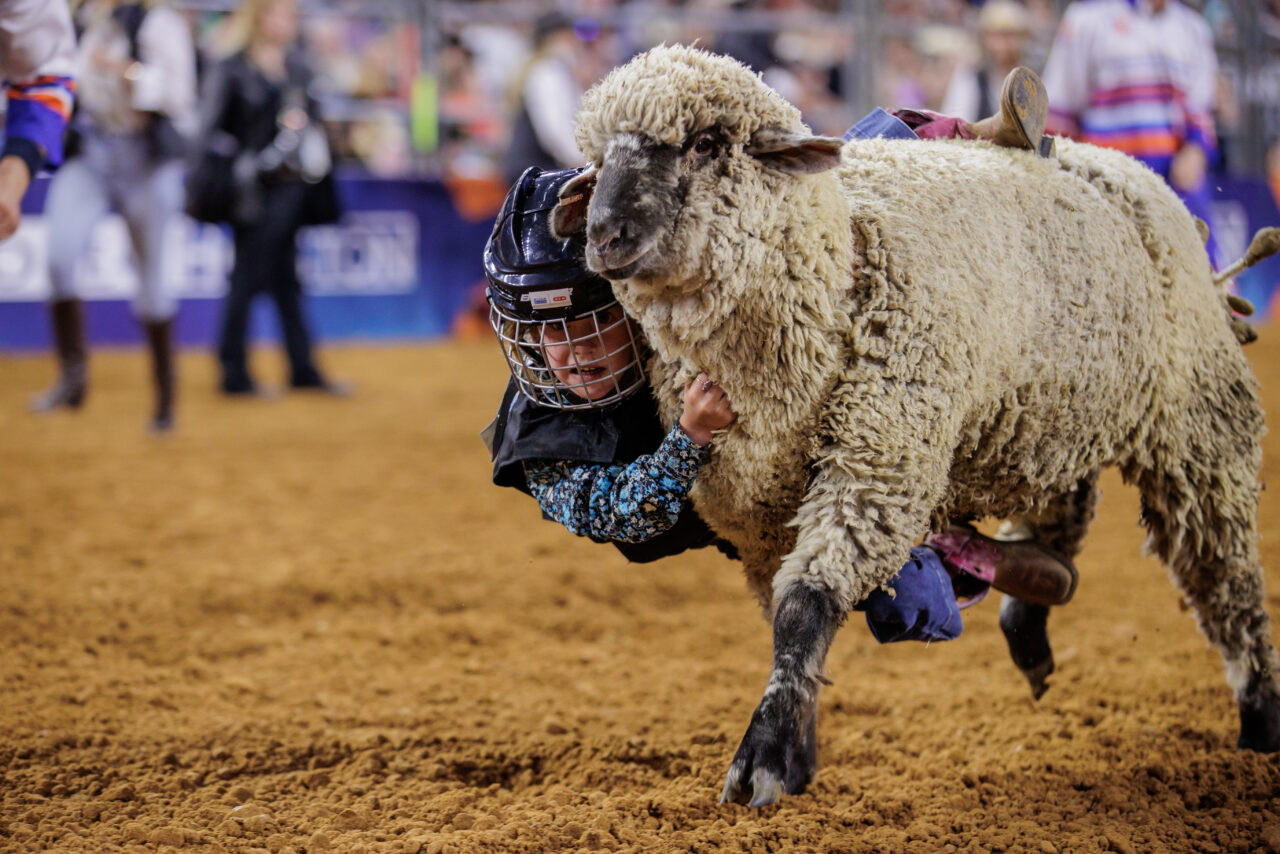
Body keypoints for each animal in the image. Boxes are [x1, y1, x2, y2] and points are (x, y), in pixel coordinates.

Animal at [547, 45, 1280, 809]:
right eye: (596, 161)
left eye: (707, 144)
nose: (603, 236)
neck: (836, 269)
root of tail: (1126, 168)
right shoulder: (761, 518)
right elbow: (786, 618)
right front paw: (798, 759)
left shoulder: (878, 463)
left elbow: (804, 607)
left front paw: (763, 762)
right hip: (1049, 415)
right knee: (1067, 507)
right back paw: (1036, 616)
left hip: (1200, 428)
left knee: (1227, 586)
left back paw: (1259, 726)